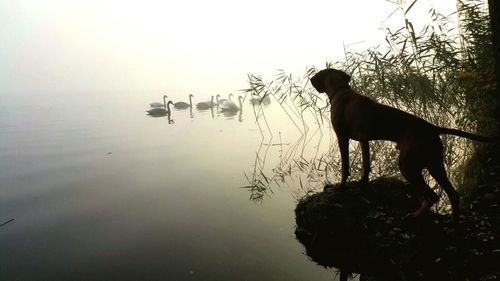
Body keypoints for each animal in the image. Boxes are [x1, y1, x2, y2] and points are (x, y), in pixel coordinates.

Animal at [310, 68, 498, 219]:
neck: (340, 91)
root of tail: (432, 128)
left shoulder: (342, 138)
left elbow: (345, 167)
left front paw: (340, 187)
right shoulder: (364, 140)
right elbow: (365, 163)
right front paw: (362, 181)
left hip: (408, 165)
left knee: (433, 196)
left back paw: (415, 215)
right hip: (434, 164)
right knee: (453, 194)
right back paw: (454, 221)